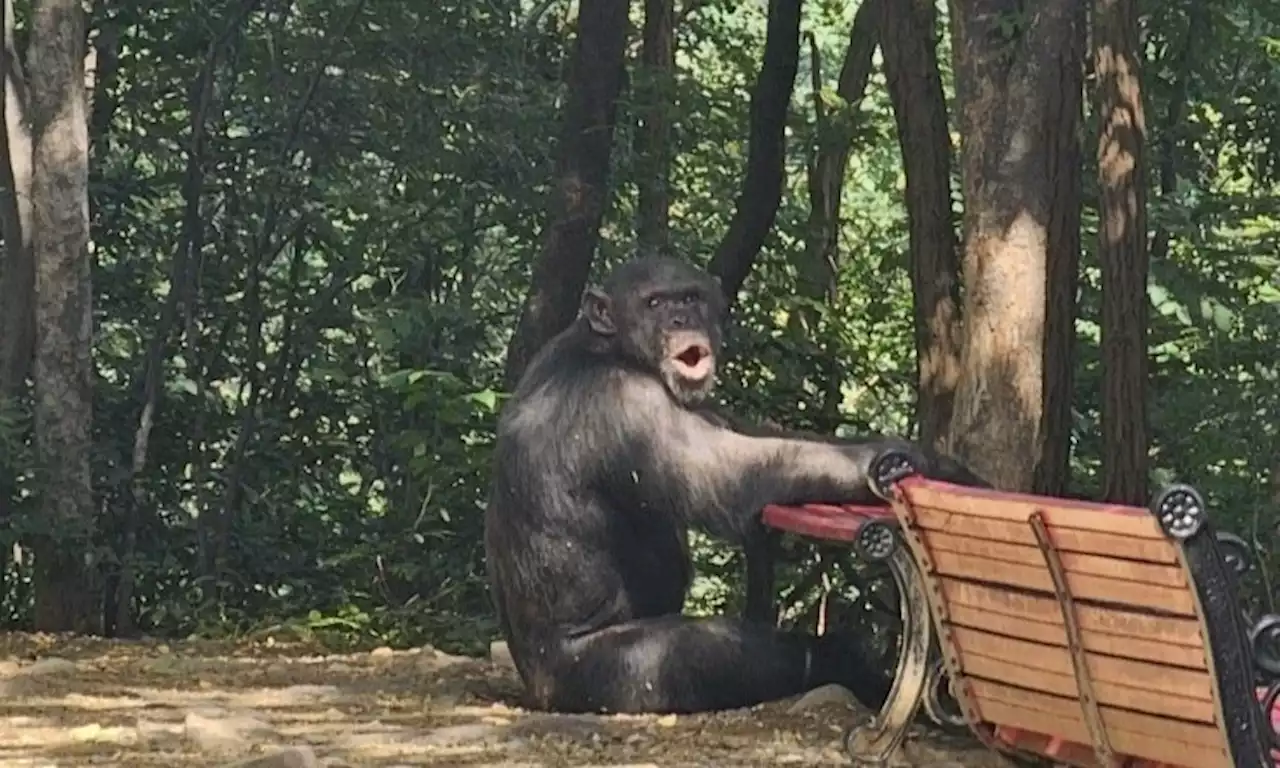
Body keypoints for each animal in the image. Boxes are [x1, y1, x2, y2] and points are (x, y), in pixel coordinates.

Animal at [483, 256, 983, 711]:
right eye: (654, 303)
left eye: (690, 298)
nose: (681, 319)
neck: (608, 348)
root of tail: (536, 690)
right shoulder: (626, 402)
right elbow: (735, 475)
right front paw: (909, 463)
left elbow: (756, 436)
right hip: (606, 676)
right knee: (712, 652)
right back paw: (842, 662)